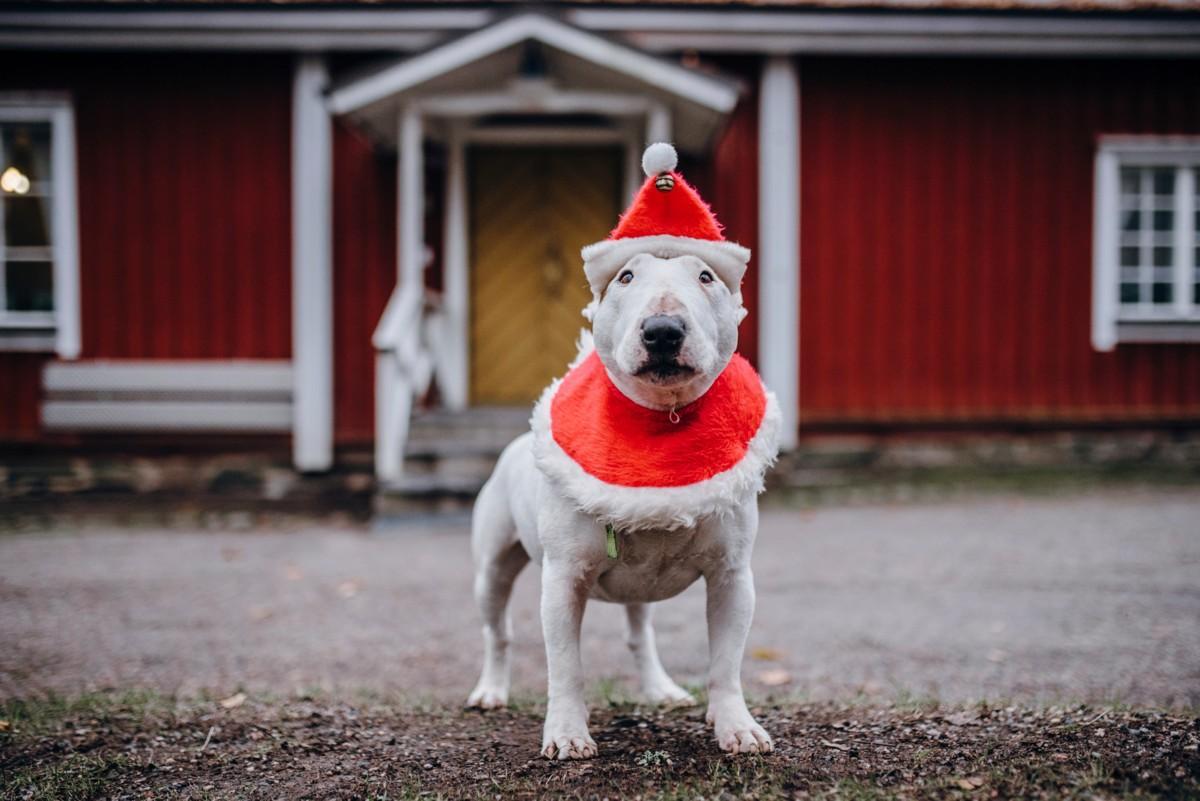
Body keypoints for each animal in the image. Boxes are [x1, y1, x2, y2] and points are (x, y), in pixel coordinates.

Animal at [463, 140, 782, 762]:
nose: (662, 331)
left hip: (640, 589)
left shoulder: (733, 578)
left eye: (706, 275)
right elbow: (566, 666)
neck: (661, 421)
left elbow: (726, 663)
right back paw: (489, 689)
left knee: (641, 633)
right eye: (626, 276)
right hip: (491, 569)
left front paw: (735, 726)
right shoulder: (562, 580)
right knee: (496, 631)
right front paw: (566, 734)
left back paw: (660, 688)